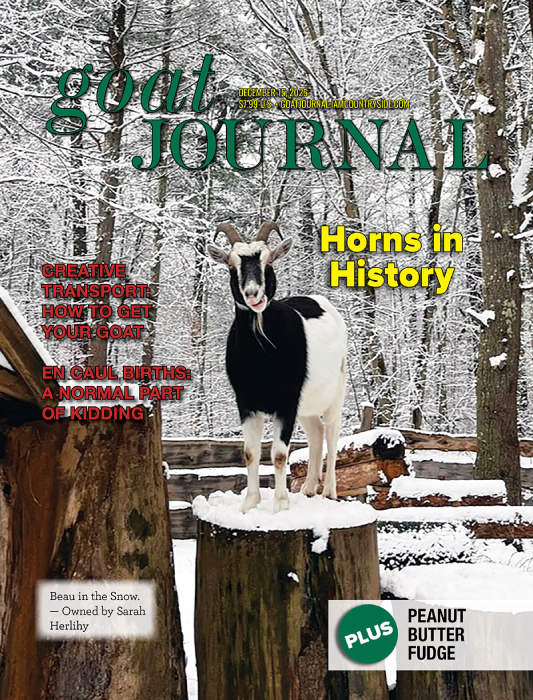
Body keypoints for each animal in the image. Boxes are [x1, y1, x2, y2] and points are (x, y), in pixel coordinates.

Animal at [208, 221, 347, 513]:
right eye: (231, 265)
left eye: (268, 261)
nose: (253, 295)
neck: (263, 356)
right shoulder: (246, 403)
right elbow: (250, 452)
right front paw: (249, 504)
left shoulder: (286, 402)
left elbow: (280, 453)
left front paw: (281, 505)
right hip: (305, 405)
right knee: (316, 434)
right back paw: (308, 489)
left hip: (336, 393)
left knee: (331, 433)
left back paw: (329, 492)